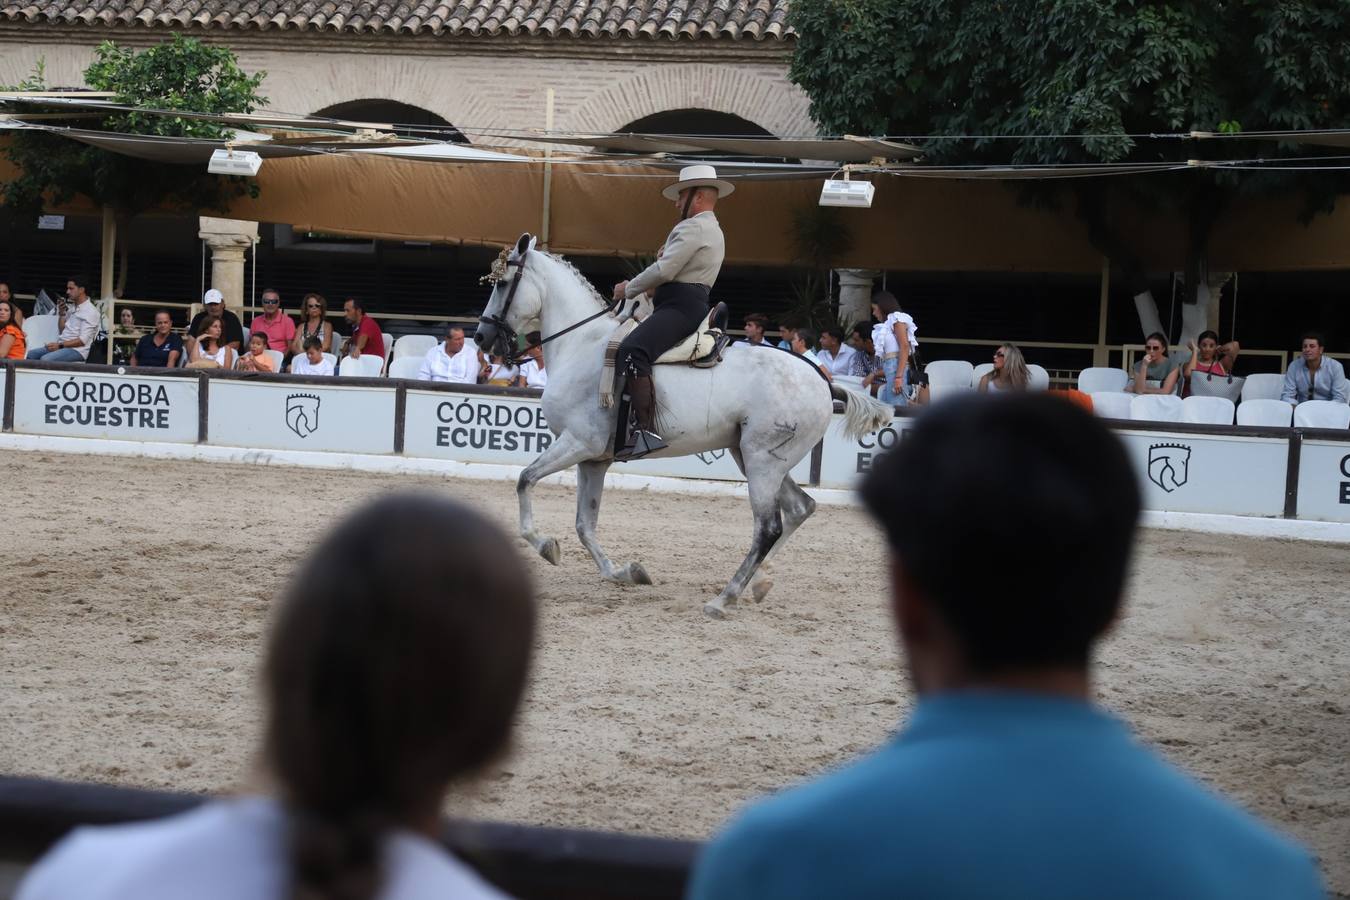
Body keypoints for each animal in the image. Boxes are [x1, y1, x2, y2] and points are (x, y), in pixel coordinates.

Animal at [475, 232, 896, 620]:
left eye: (501, 283)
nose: (482, 337)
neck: (581, 345)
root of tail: (823, 381)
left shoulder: (578, 442)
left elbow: (525, 480)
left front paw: (545, 545)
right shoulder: (594, 459)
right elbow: (584, 524)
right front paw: (623, 572)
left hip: (762, 462)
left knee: (768, 527)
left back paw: (725, 598)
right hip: (754, 457)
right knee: (799, 509)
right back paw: (759, 583)